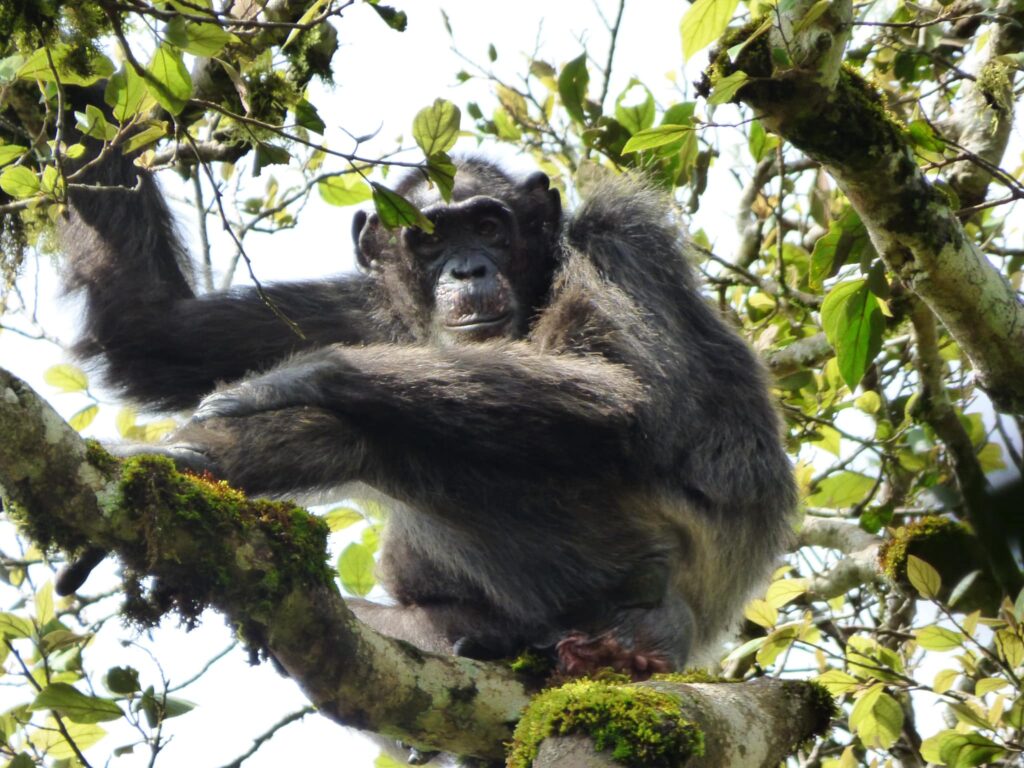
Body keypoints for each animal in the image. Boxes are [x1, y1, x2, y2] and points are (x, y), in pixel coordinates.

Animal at [59, 134, 796, 677]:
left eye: (489, 225)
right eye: (430, 237)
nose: (467, 268)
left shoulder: (619, 239)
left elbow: (626, 394)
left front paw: (294, 378)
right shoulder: (364, 309)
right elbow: (153, 332)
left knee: (376, 440)